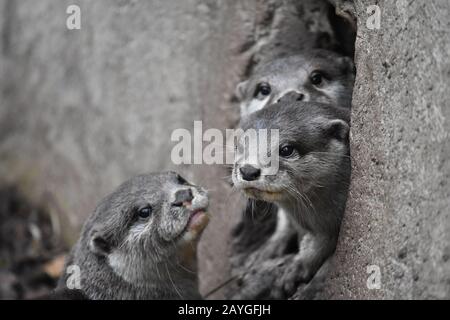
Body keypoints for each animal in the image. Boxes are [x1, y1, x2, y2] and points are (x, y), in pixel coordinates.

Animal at [232, 94, 352, 296]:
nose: (248, 171)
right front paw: (291, 266)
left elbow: (329, 265)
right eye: (239, 146)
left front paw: (309, 290)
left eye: (286, 149)